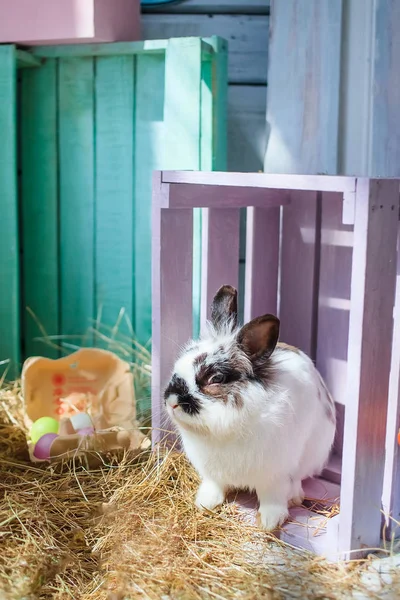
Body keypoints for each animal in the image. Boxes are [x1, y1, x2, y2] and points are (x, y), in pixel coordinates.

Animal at [164, 284, 336, 528]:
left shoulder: (275, 475)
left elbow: (273, 497)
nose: (172, 401)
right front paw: (205, 503)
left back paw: (295, 497)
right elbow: (215, 485)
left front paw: (270, 522)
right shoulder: (213, 472)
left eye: (216, 378)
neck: (222, 430)